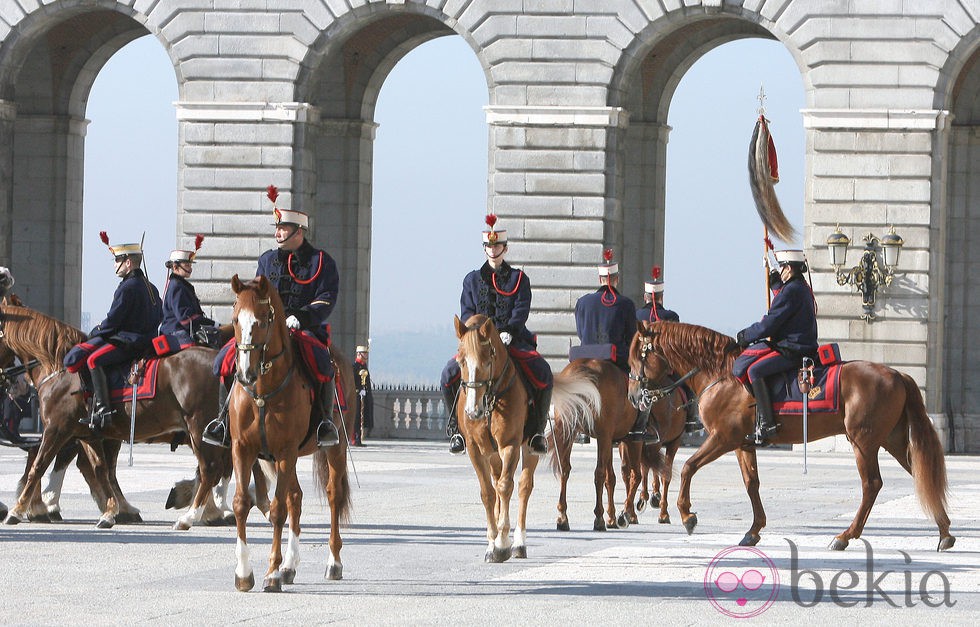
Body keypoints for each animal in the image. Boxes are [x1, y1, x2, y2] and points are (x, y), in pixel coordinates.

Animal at [0, 304, 232, 528]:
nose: (13, 382)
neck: (60, 370)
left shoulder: (58, 428)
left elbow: (40, 466)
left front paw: (16, 511)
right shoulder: (84, 433)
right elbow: (98, 469)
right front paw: (110, 511)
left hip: (197, 427)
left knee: (209, 470)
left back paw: (187, 517)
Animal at [228, 276, 354, 592]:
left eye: (262, 321)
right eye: (235, 320)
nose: (245, 374)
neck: (263, 390)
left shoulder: (285, 451)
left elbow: (276, 511)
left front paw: (271, 574)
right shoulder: (243, 449)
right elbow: (241, 504)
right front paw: (244, 572)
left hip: (335, 447)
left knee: (333, 495)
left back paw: (333, 562)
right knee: (295, 497)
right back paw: (289, 565)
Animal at [452, 316, 596, 560]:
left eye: (487, 360)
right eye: (461, 361)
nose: (473, 412)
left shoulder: (509, 445)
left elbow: (505, 487)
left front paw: (501, 543)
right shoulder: (475, 449)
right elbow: (488, 493)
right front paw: (491, 543)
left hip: (529, 447)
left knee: (523, 487)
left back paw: (519, 543)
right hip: (493, 454)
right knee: (497, 481)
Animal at [628, 322, 956, 552]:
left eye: (636, 359)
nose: (633, 397)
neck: (720, 374)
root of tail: (898, 374)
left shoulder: (722, 439)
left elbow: (687, 468)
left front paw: (687, 516)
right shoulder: (743, 444)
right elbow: (751, 483)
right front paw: (754, 530)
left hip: (863, 442)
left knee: (872, 484)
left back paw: (845, 536)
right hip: (893, 440)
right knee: (920, 474)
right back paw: (944, 532)